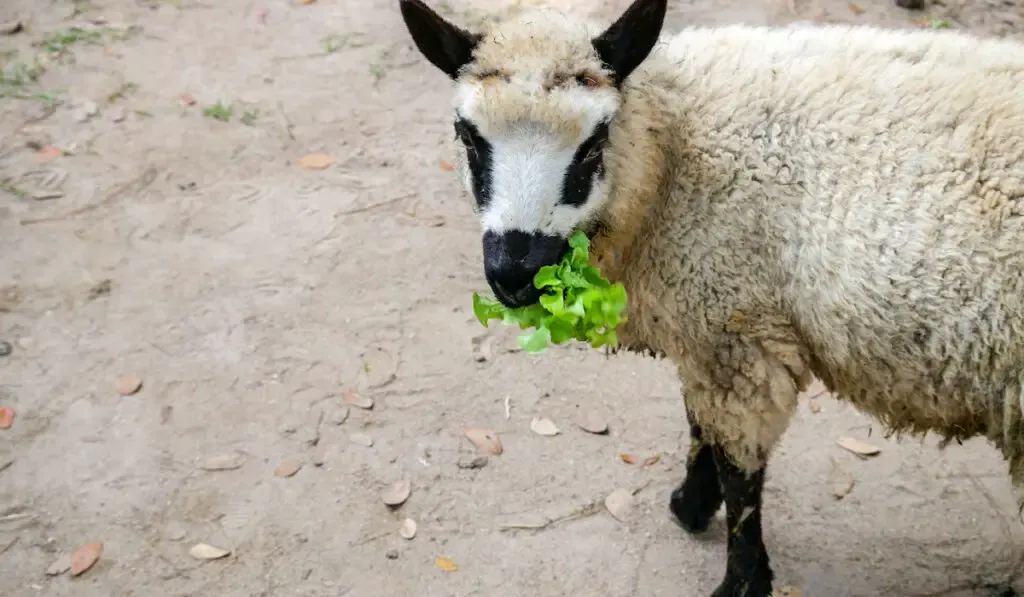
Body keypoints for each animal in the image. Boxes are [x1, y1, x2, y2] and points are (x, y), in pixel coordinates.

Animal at [395, 0, 1024, 593]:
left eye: (594, 142)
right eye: (468, 135)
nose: (515, 274)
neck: (675, 146)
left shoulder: (735, 328)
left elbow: (737, 464)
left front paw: (739, 575)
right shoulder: (704, 323)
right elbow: (699, 422)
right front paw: (691, 505)